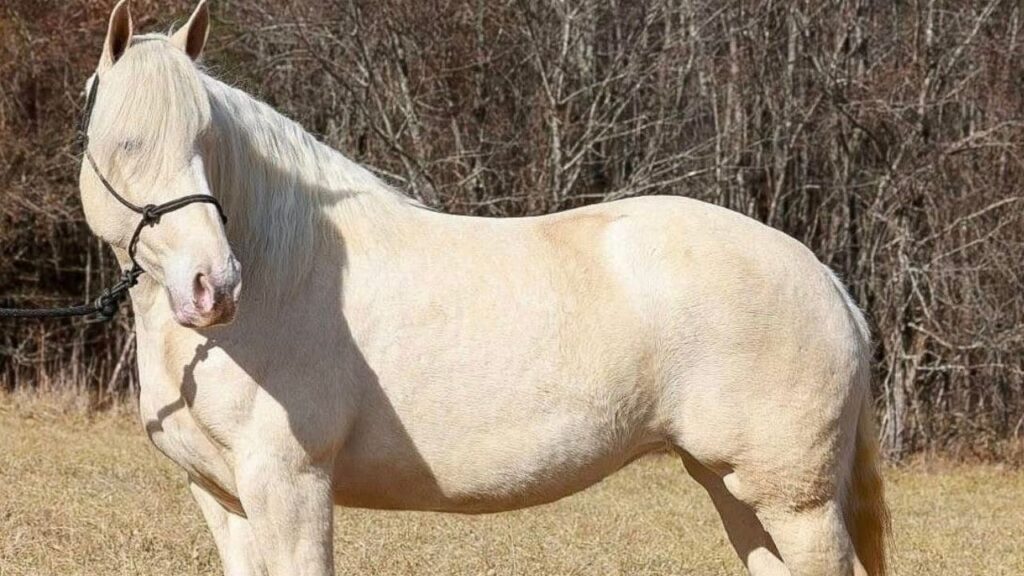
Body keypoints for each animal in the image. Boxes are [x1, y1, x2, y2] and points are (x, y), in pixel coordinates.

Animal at [77, 2, 890, 574]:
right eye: (123, 144)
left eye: (207, 140)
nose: (212, 287)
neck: (285, 279)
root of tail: (827, 281)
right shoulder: (223, 498)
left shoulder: (291, 485)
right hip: (733, 488)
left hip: (796, 501)